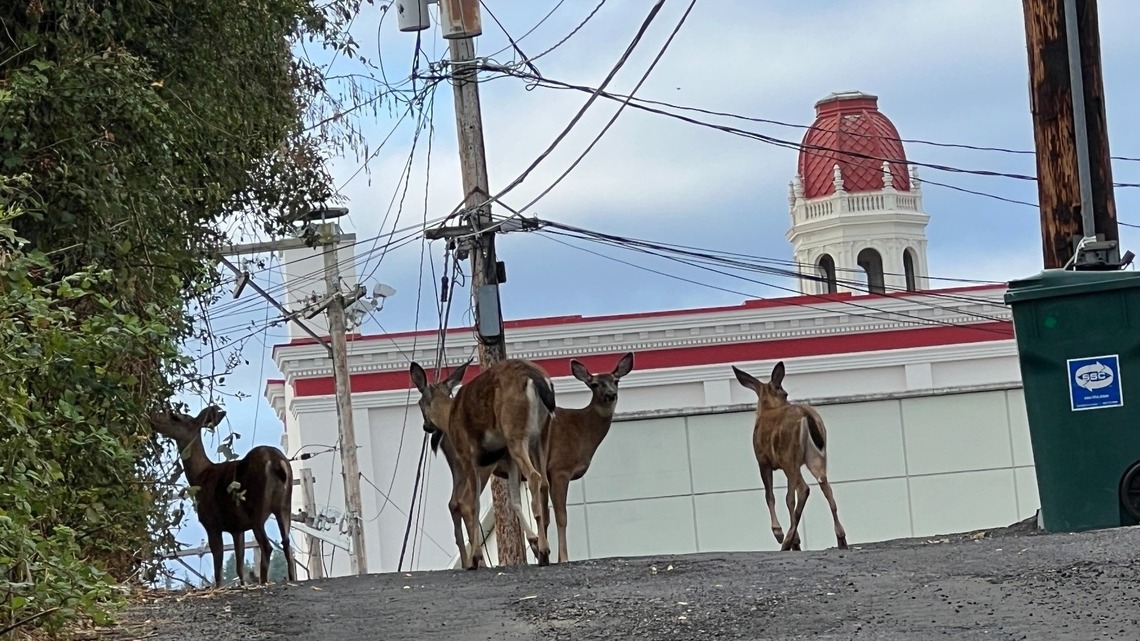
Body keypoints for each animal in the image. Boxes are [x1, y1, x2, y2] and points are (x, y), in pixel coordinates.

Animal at [149, 405, 297, 587]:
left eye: (175, 416)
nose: (151, 417)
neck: (200, 476)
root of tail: (276, 462)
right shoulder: (237, 528)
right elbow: (239, 565)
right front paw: (242, 585)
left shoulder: (211, 523)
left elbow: (218, 566)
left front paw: (218, 588)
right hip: (284, 506)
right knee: (286, 544)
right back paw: (291, 579)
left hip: (256, 507)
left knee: (267, 546)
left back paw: (264, 582)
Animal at [409, 357, 557, 569]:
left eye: (419, 402)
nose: (426, 426)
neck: (449, 416)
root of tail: (534, 377)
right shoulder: (506, 457)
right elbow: (514, 501)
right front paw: (533, 542)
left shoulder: (468, 456)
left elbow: (473, 504)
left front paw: (477, 555)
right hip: (541, 435)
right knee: (543, 481)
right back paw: (543, 549)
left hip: (514, 431)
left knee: (533, 477)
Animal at [731, 361, 848, 552]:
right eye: (785, 393)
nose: (787, 399)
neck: (767, 410)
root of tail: (806, 414)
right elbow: (788, 499)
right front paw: (796, 541)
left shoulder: (763, 461)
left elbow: (771, 496)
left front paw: (779, 533)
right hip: (814, 457)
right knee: (825, 487)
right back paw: (841, 539)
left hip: (789, 458)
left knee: (804, 489)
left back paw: (785, 541)